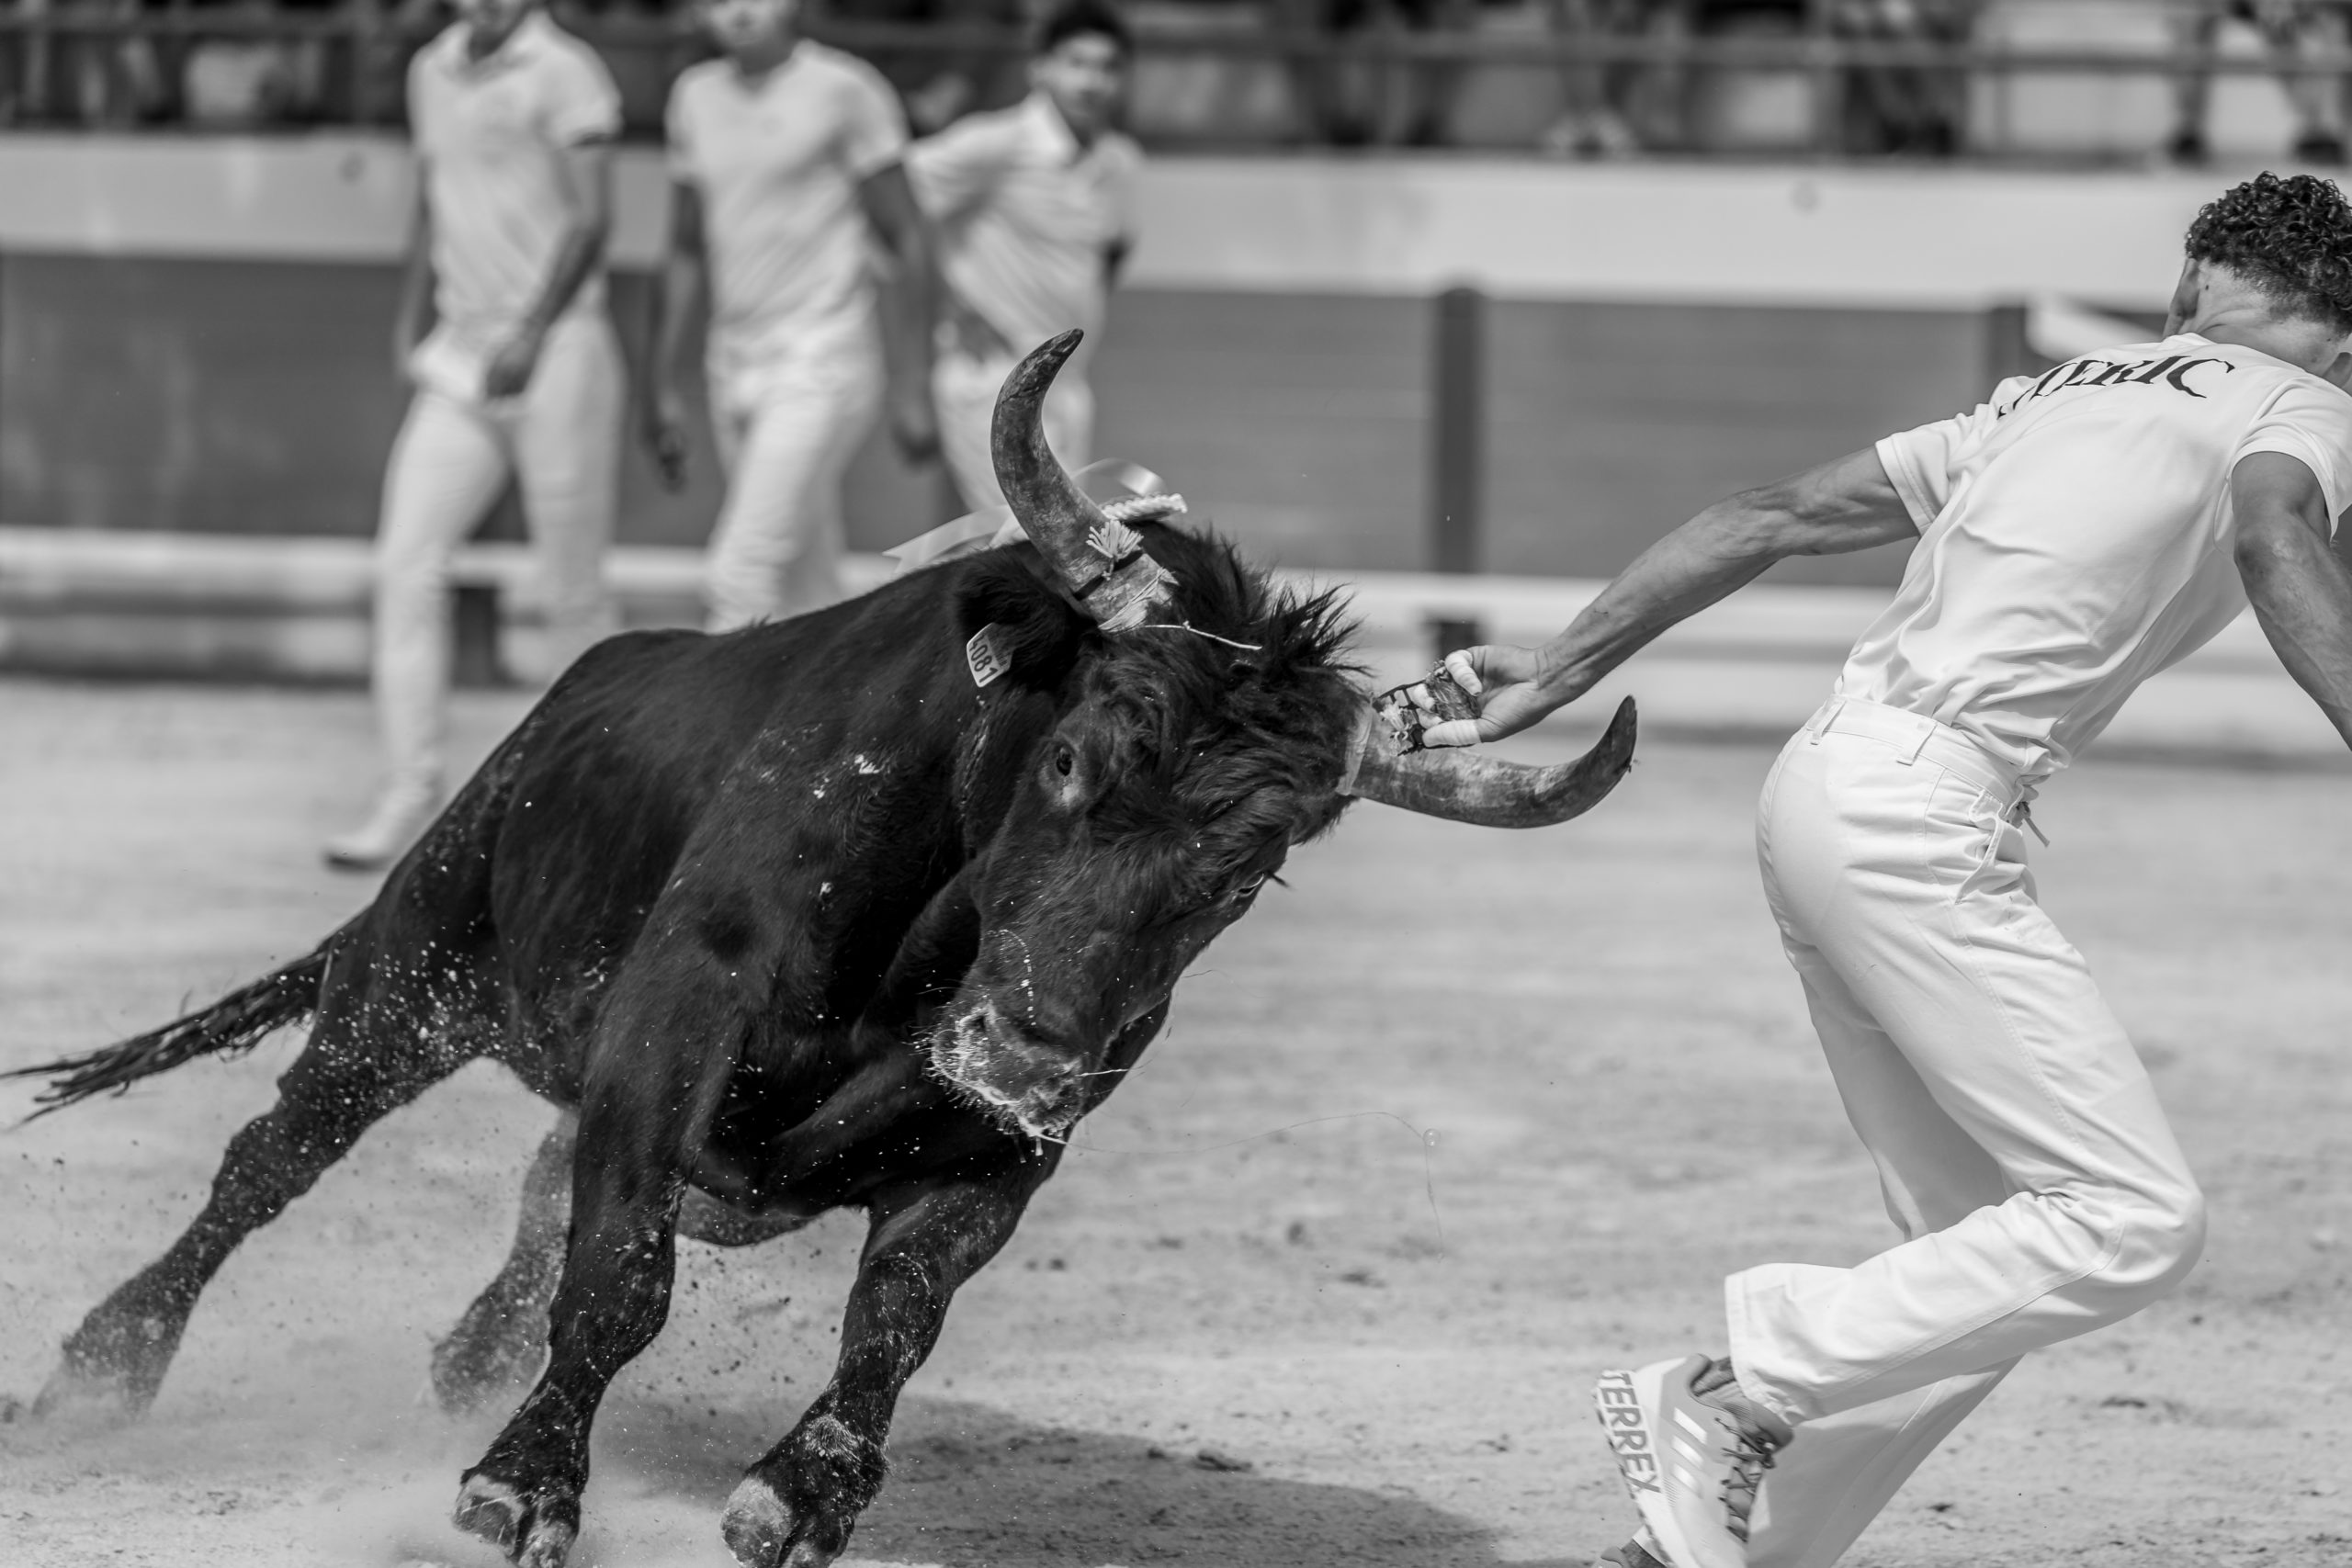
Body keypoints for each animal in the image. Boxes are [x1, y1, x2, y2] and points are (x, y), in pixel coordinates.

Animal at [14, 338, 1636, 1568]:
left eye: (1251, 866)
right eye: (1073, 759)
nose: (1027, 1046)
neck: (929, 952)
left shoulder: (1004, 1148)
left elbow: (894, 1321)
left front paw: (797, 1497)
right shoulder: (675, 1014)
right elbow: (624, 1270)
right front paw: (523, 1482)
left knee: (537, 1184)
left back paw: (460, 1354)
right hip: (409, 978)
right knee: (274, 1159)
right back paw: (106, 1362)